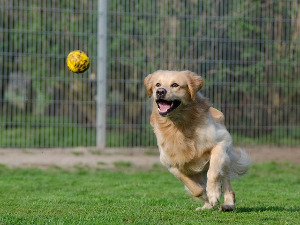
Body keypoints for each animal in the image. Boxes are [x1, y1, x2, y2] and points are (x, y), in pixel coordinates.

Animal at [144, 70, 251, 211]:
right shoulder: (172, 165)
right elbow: (196, 189)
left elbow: (213, 173)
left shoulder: (221, 143)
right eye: (157, 84)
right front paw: (208, 197)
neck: (178, 125)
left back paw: (228, 204)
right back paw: (206, 206)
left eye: (175, 84)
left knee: (226, 182)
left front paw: (213, 194)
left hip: (225, 159)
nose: (160, 91)